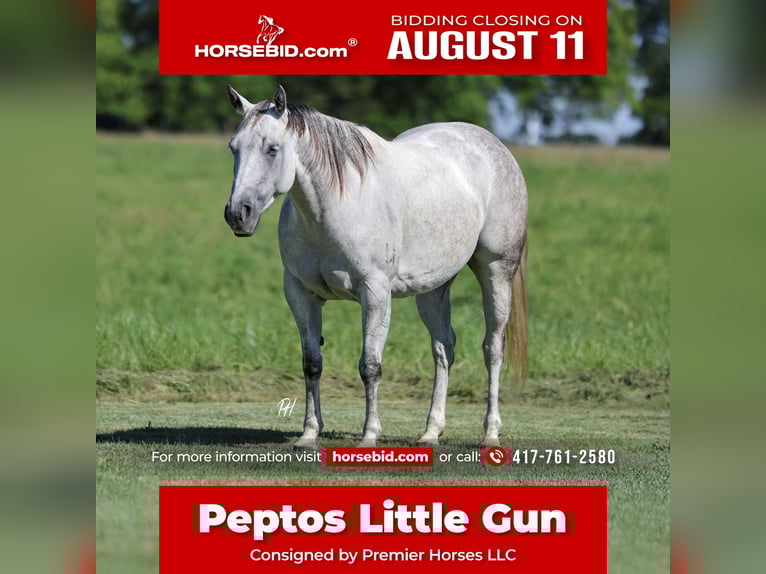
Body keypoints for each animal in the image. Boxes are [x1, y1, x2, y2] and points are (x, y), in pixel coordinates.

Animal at [224, 85, 528, 449]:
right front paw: (309, 434)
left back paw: (490, 433)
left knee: (492, 347)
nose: (238, 214)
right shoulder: (300, 293)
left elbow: (370, 366)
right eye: (233, 148)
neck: (335, 206)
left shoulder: (375, 293)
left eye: (272, 149)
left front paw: (369, 435)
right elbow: (311, 363)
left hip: (497, 270)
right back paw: (430, 432)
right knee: (443, 347)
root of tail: (494, 146)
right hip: (433, 288)